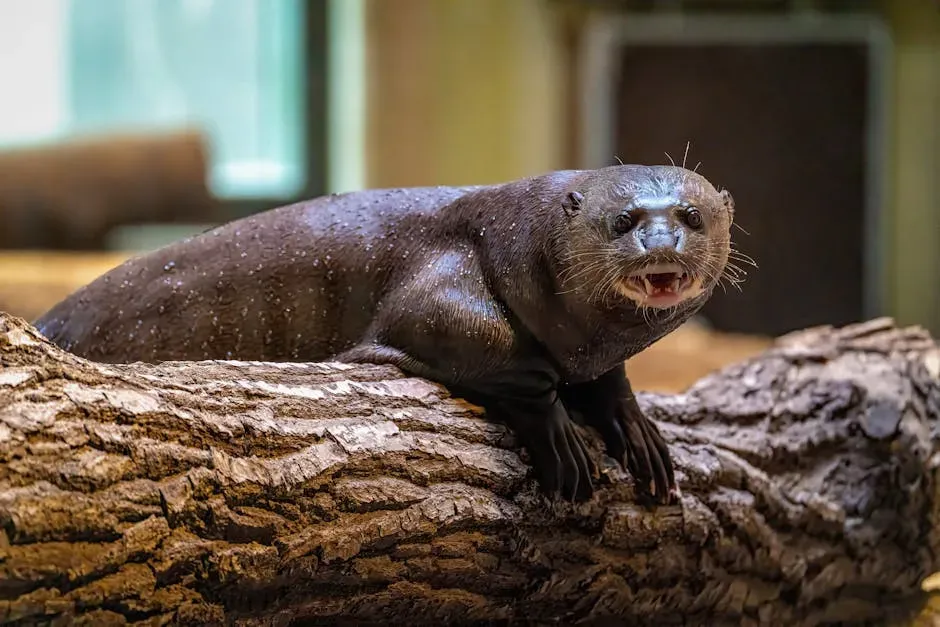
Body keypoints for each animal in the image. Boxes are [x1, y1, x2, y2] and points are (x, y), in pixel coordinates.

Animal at [35, 165, 736, 504]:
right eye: (622, 220)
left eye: (691, 215)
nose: (661, 242)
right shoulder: (445, 274)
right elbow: (484, 345)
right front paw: (558, 434)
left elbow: (607, 377)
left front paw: (635, 427)